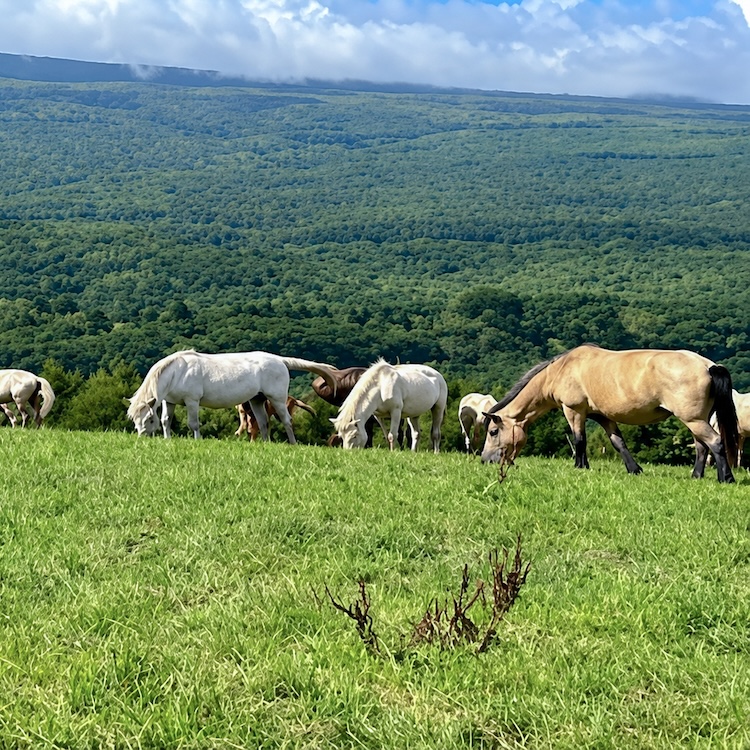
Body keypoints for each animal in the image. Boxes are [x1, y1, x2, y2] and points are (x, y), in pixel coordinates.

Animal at [127, 350, 337, 441]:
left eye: (148, 420)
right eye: (135, 420)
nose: (142, 437)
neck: (177, 371)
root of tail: (280, 360)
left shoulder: (192, 401)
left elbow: (193, 424)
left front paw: (197, 440)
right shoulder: (169, 401)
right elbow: (166, 421)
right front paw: (167, 440)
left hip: (276, 399)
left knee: (287, 421)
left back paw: (292, 443)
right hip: (257, 399)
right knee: (263, 423)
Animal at [481, 344, 739, 483]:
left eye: (493, 431)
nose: (484, 460)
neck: (562, 369)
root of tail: (708, 365)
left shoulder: (573, 411)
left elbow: (580, 440)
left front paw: (580, 467)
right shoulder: (602, 416)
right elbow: (618, 442)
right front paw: (634, 469)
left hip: (693, 420)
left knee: (715, 442)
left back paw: (726, 478)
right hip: (697, 420)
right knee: (701, 447)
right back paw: (696, 476)